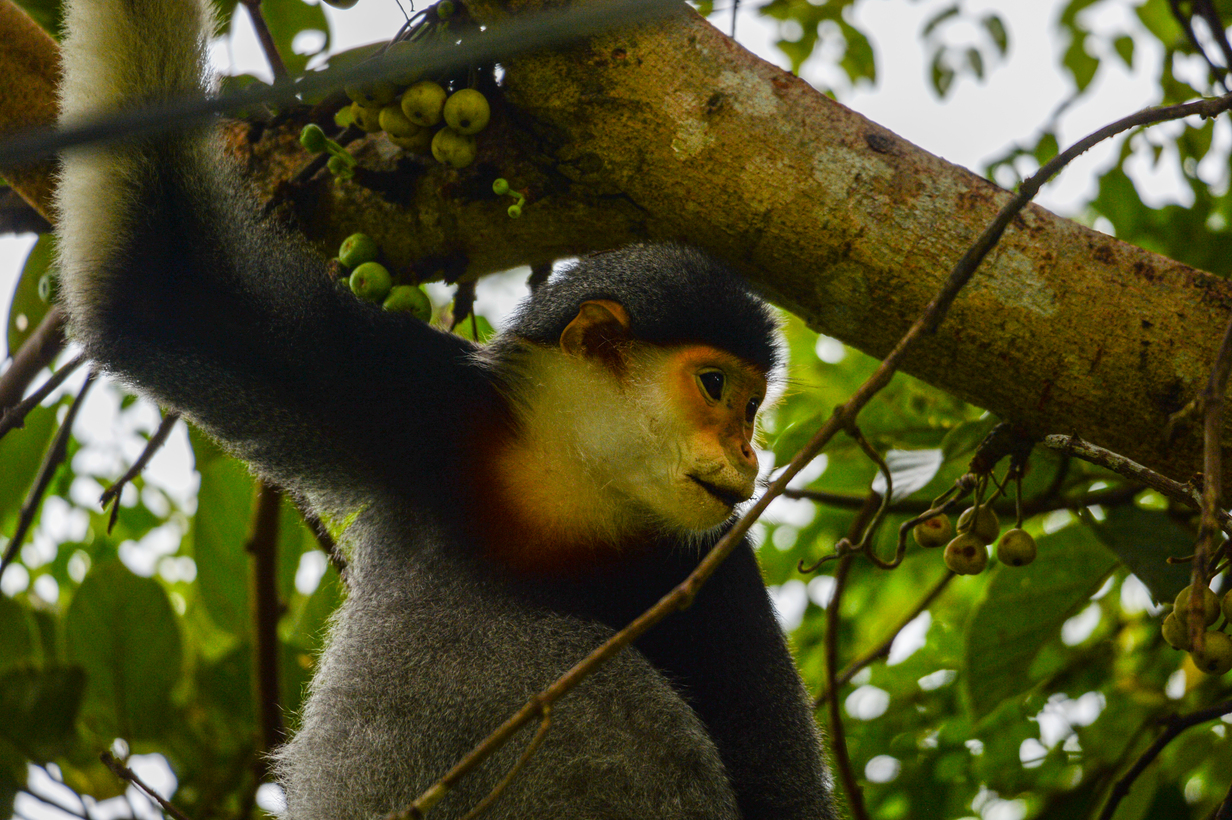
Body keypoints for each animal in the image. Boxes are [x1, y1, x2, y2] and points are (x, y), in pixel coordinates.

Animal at [50, 1, 837, 817]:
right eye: (716, 387)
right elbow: (157, 278)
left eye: (753, 406)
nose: (748, 451)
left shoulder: (717, 570)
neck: (568, 487)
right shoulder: (421, 403)